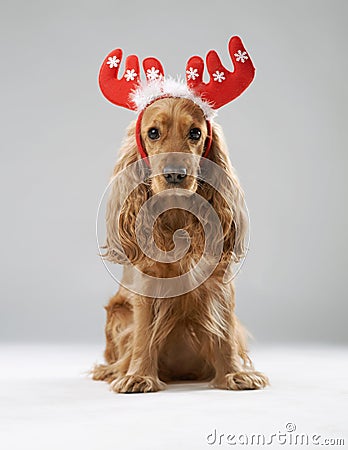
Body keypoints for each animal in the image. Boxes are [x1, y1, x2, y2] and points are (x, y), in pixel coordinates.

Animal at [92, 96, 270, 392]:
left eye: (195, 133)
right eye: (153, 132)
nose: (175, 174)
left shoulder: (219, 283)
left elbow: (224, 335)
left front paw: (234, 374)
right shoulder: (147, 285)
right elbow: (143, 334)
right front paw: (138, 376)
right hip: (117, 312)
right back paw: (111, 371)